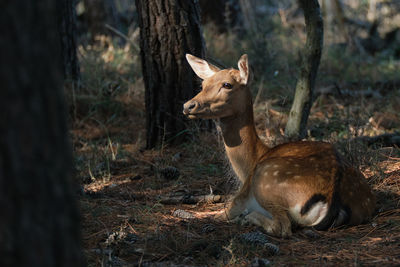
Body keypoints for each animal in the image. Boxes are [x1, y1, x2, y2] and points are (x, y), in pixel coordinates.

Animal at [183, 53, 376, 238]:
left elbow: (220, 214)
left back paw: (247, 218)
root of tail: (332, 197)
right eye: (203, 84)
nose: (188, 105)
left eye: (227, 84)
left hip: (266, 180)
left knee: (282, 227)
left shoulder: (237, 200)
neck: (253, 161)